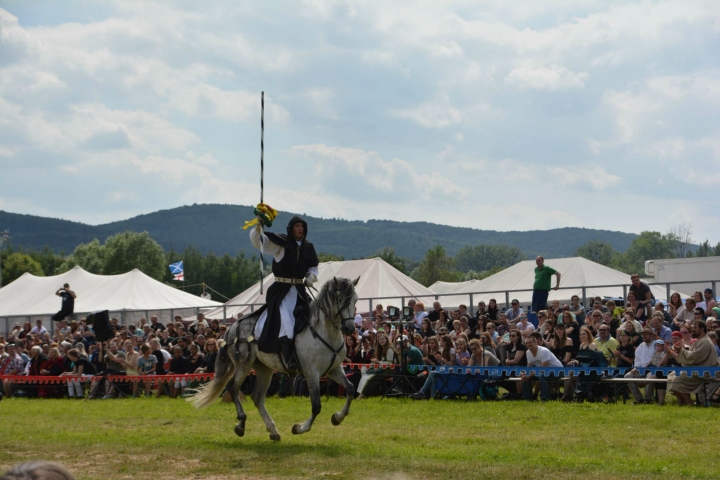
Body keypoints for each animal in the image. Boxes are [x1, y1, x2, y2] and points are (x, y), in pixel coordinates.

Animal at [190, 276, 358, 440]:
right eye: (341, 300)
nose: (349, 329)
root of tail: (231, 328)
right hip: (243, 365)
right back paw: (241, 424)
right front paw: (299, 428)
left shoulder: (334, 369)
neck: (324, 332)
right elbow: (316, 406)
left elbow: (350, 389)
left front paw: (337, 418)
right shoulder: (312, 373)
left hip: (264, 369)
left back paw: (273, 431)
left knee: (257, 397)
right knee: (233, 388)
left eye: (355, 300)